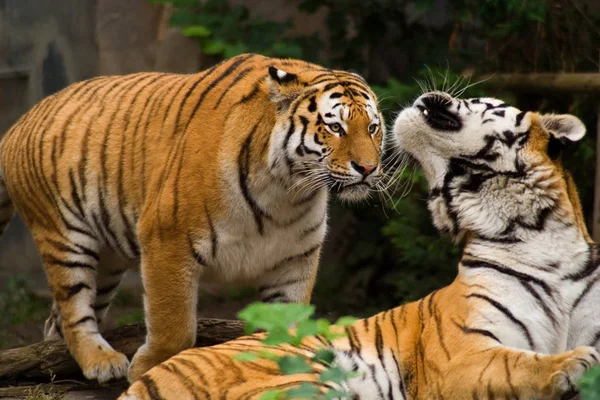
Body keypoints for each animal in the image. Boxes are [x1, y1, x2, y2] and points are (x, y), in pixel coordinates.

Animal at [0, 54, 386, 382]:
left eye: (372, 128)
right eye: (335, 128)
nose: (368, 168)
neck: (286, 193)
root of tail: (18, 123)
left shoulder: (295, 259)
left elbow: (287, 328)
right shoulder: (167, 242)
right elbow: (175, 327)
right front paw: (149, 371)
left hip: (107, 262)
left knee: (58, 321)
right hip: (64, 239)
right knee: (74, 312)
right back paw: (102, 362)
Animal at [120, 91, 600, 400]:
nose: (429, 95)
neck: (529, 229)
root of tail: (147, 381)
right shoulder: (461, 354)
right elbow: (517, 363)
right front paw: (574, 363)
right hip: (304, 380)